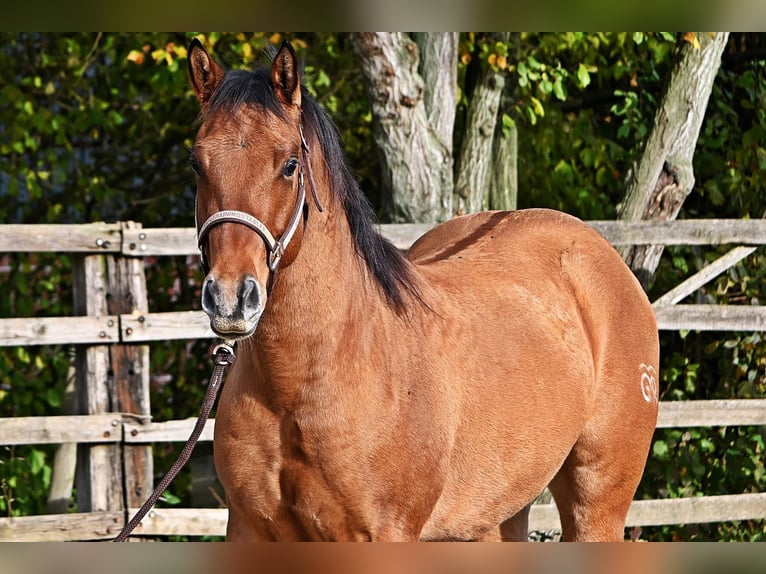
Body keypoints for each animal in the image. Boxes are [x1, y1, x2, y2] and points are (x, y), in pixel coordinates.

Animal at [187, 38, 660, 541]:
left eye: (289, 165)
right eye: (197, 163)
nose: (230, 298)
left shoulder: (386, 534)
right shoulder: (249, 530)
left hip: (597, 505)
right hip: (494, 515)